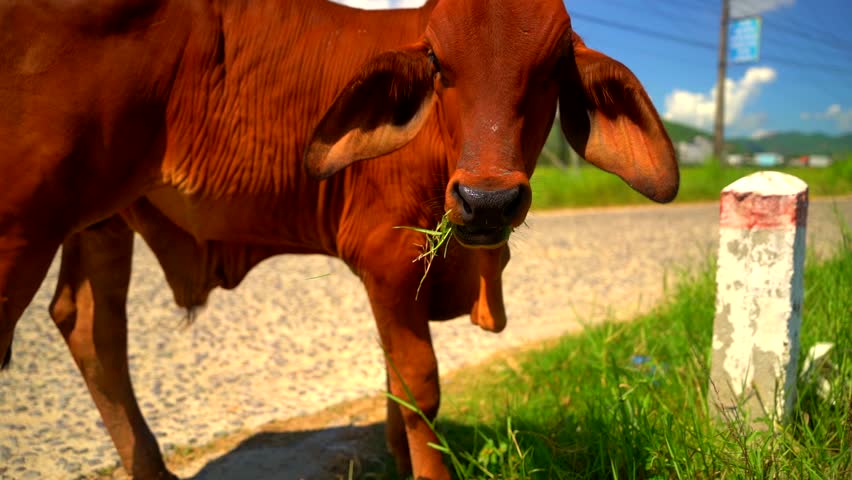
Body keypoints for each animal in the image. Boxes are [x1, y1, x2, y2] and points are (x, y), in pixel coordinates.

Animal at [0, 0, 679, 478]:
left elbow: (394, 381)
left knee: (91, 327)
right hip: (23, 224)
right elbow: (419, 385)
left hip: (101, 219)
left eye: (551, 69)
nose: (487, 199)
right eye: (439, 64)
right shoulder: (388, 258)